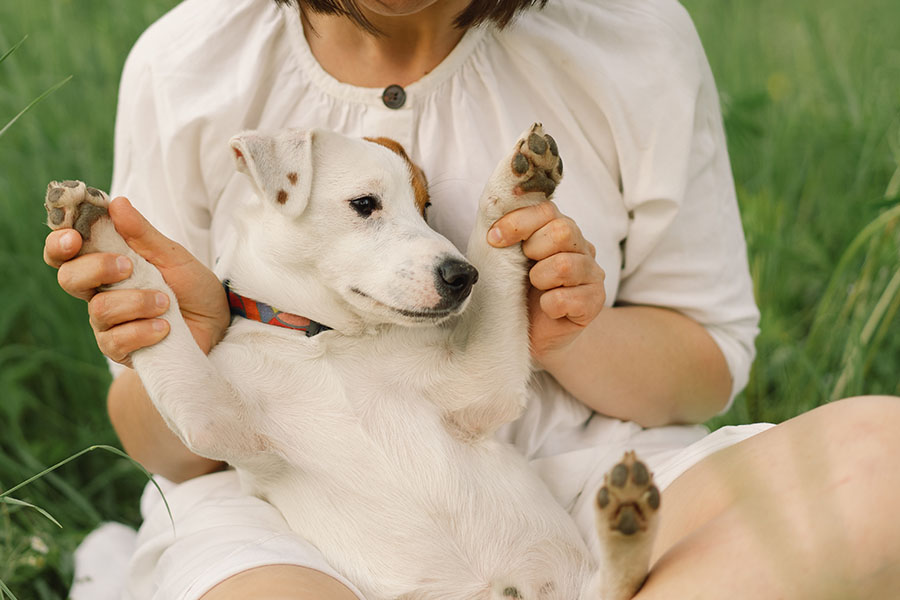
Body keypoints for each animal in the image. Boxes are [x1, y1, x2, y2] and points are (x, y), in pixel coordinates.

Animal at [45, 124, 656, 596]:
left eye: (426, 207)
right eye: (365, 205)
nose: (463, 277)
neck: (330, 343)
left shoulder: (481, 387)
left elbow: (498, 256)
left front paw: (514, 189)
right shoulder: (212, 417)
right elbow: (158, 313)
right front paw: (100, 237)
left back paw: (628, 516)